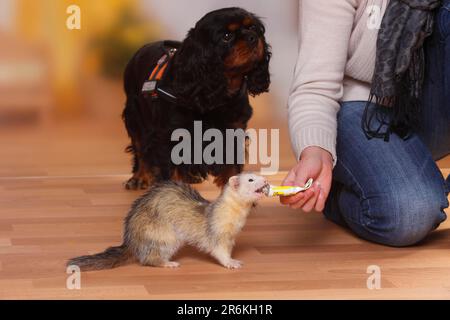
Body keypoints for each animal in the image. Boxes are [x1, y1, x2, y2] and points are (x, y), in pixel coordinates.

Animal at [121, 6, 270, 189]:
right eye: (226, 36)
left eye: (253, 28)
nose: (252, 37)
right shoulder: (170, 134)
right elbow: (171, 166)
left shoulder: (233, 130)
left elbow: (232, 163)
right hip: (135, 117)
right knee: (141, 149)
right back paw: (140, 177)